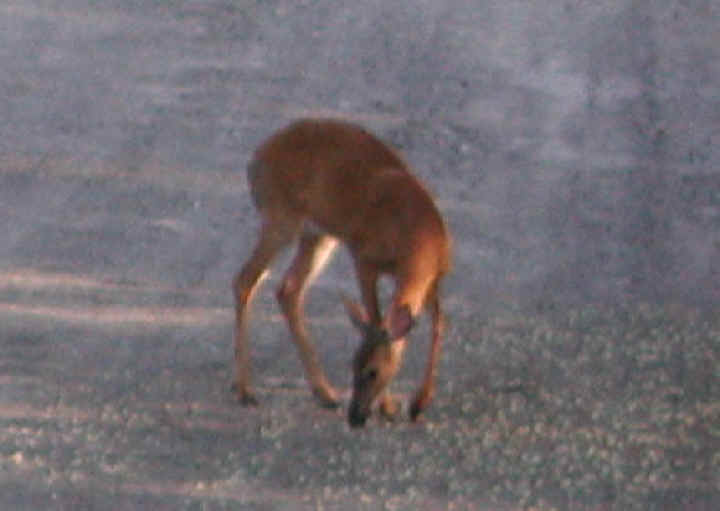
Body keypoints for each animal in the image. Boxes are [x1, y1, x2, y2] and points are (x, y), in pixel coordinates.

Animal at [232, 118, 451, 427]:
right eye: (353, 364)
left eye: (372, 371)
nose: (355, 417)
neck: (417, 237)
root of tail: (256, 159)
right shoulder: (365, 259)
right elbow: (375, 317)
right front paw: (388, 406)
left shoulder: (435, 278)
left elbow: (438, 324)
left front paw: (419, 402)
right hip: (282, 217)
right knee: (245, 280)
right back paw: (245, 389)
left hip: (317, 234)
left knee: (288, 289)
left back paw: (324, 392)